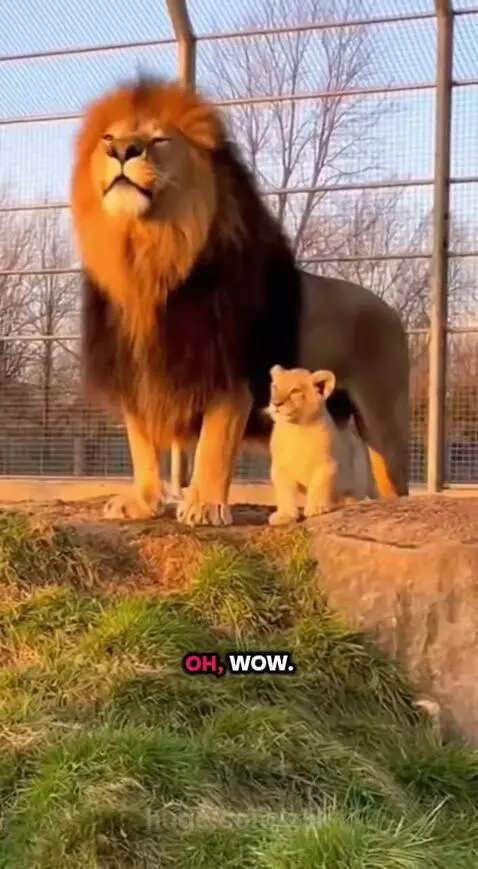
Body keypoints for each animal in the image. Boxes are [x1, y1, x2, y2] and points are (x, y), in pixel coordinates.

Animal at [267, 365, 377, 526]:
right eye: (275, 387)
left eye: (295, 391)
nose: (276, 403)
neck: (295, 428)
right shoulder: (280, 468)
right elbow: (284, 492)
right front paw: (284, 515)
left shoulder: (326, 464)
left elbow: (319, 485)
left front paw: (316, 509)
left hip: (360, 472)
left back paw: (349, 501)